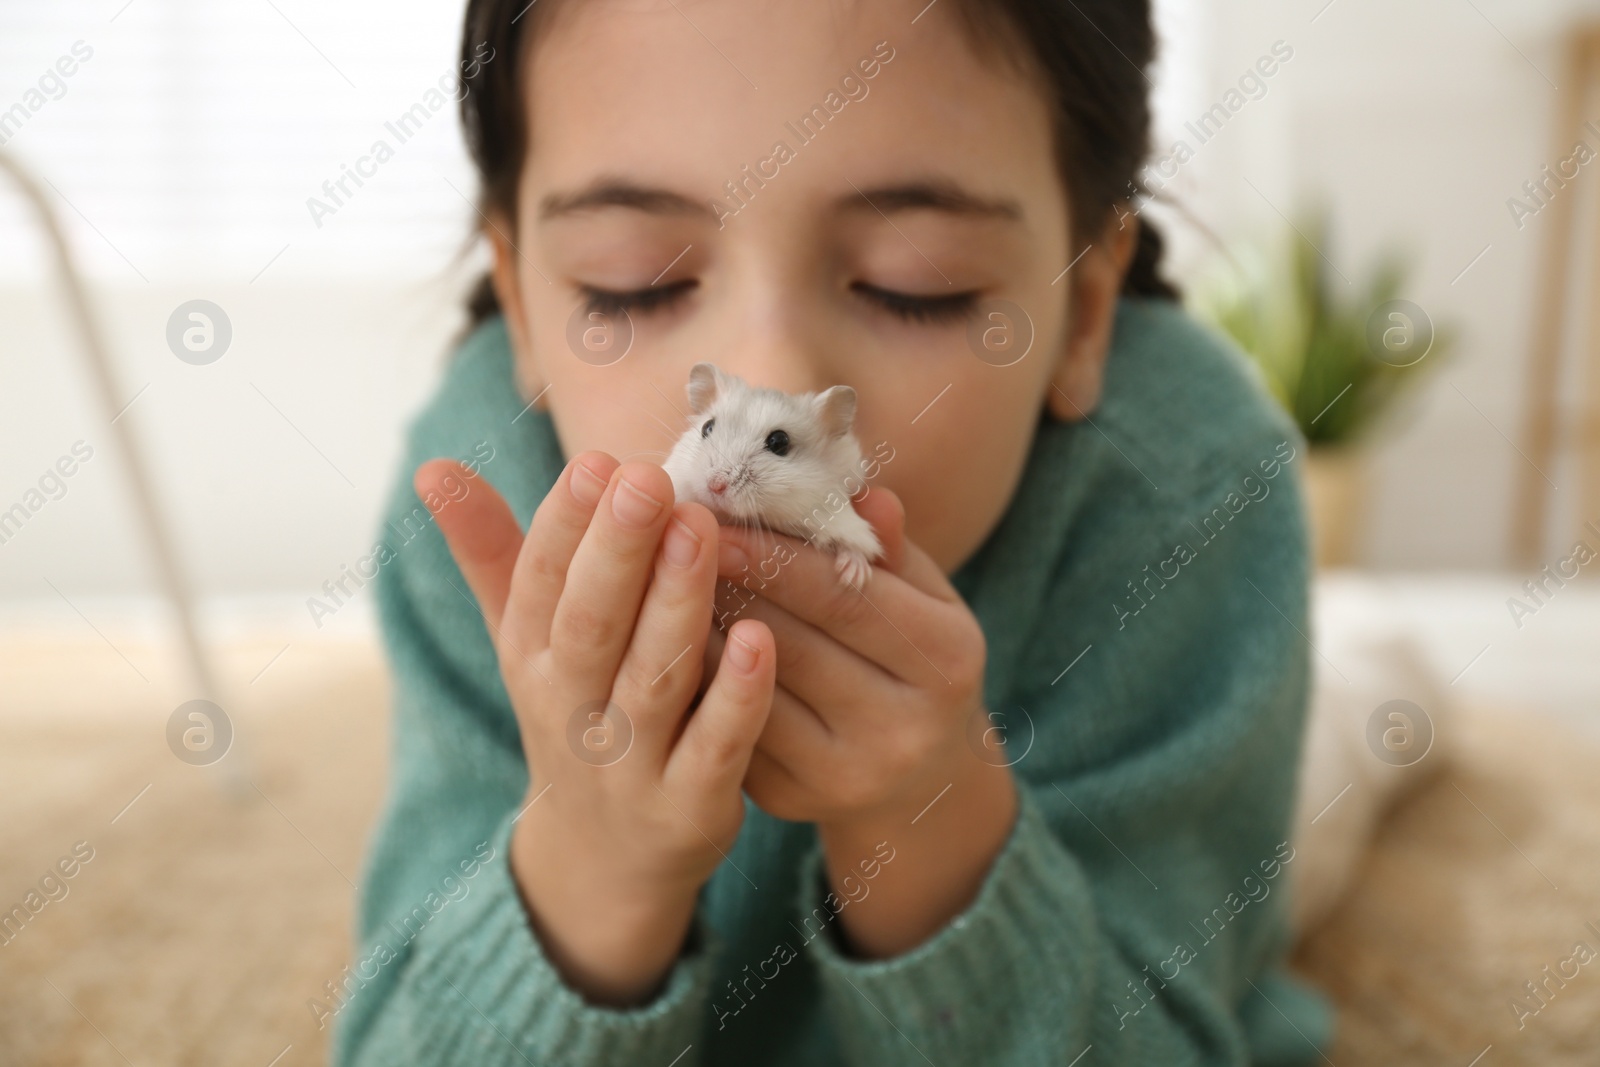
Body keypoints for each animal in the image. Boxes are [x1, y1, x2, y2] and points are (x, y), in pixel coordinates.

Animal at [662, 363, 889, 588]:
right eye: (707, 427)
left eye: (779, 442)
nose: (715, 485)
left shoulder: (843, 521)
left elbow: (856, 547)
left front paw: (854, 578)